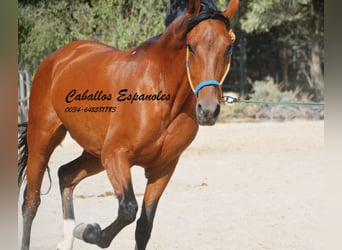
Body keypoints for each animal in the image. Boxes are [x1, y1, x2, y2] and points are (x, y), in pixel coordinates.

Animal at [18, 0, 238, 249]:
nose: (208, 110)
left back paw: (66, 239)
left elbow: (143, 226)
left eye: (228, 48)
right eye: (190, 47)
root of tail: (58, 58)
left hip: (94, 154)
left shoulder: (163, 167)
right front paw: (88, 231)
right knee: (31, 202)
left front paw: (83, 230)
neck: (161, 95)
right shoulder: (116, 156)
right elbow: (128, 210)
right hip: (43, 139)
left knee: (66, 174)